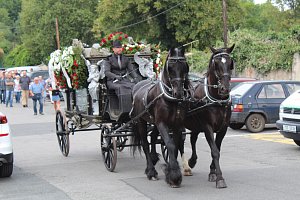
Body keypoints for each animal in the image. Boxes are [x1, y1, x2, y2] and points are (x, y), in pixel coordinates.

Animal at [131, 47, 190, 188]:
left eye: (185, 67)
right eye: (170, 67)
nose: (178, 93)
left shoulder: (176, 124)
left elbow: (175, 145)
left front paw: (172, 173)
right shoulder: (162, 123)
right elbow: (170, 144)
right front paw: (174, 176)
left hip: (154, 122)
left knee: (152, 137)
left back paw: (153, 159)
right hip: (141, 121)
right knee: (145, 143)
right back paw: (151, 171)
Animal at [184, 44, 236, 189]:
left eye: (230, 63)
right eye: (216, 64)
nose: (225, 89)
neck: (217, 100)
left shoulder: (223, 128)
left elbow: (217, 149)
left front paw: (212, 172)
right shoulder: (208, 127)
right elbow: (214, 151)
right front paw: (220, 178)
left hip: (195, 125)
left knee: (193, 139)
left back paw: (192, 161)